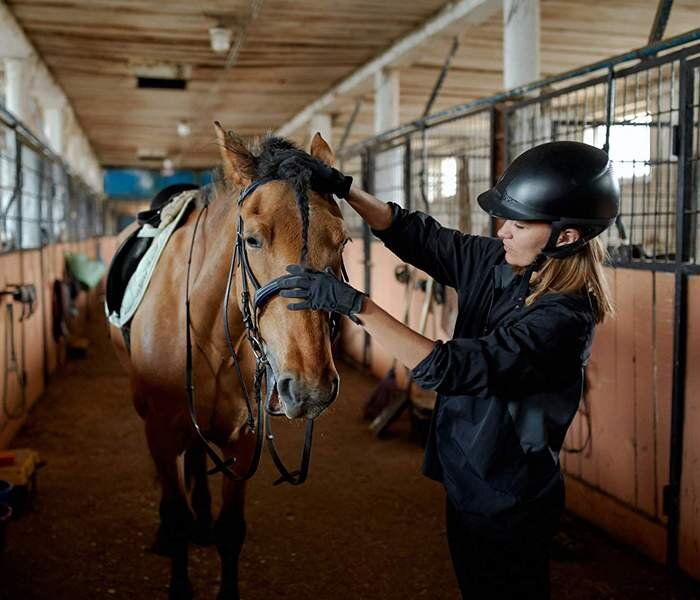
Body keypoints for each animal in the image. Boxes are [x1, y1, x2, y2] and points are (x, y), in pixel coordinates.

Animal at [108, 124, 348, 596]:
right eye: (253, 238)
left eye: (343, 240)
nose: (310, 387)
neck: (211, 335)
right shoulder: (160, 433)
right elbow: (175, 517)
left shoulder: (243, 440)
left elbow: (231, 531)